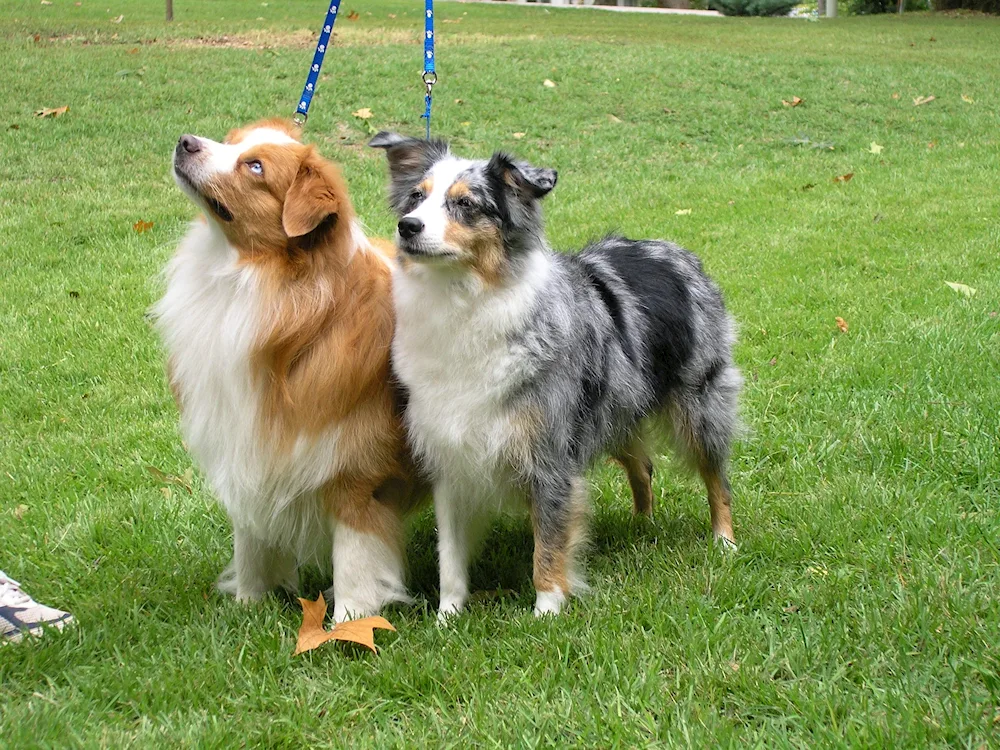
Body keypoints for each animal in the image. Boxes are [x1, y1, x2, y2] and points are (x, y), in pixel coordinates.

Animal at [153, 119, 422, 624]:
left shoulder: (356, 473)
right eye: (231, 140)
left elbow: (354, 563)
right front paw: (247, 606)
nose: (185, 142)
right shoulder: (251, 445)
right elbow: (251, 545)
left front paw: (346, 627)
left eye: (255, 167)